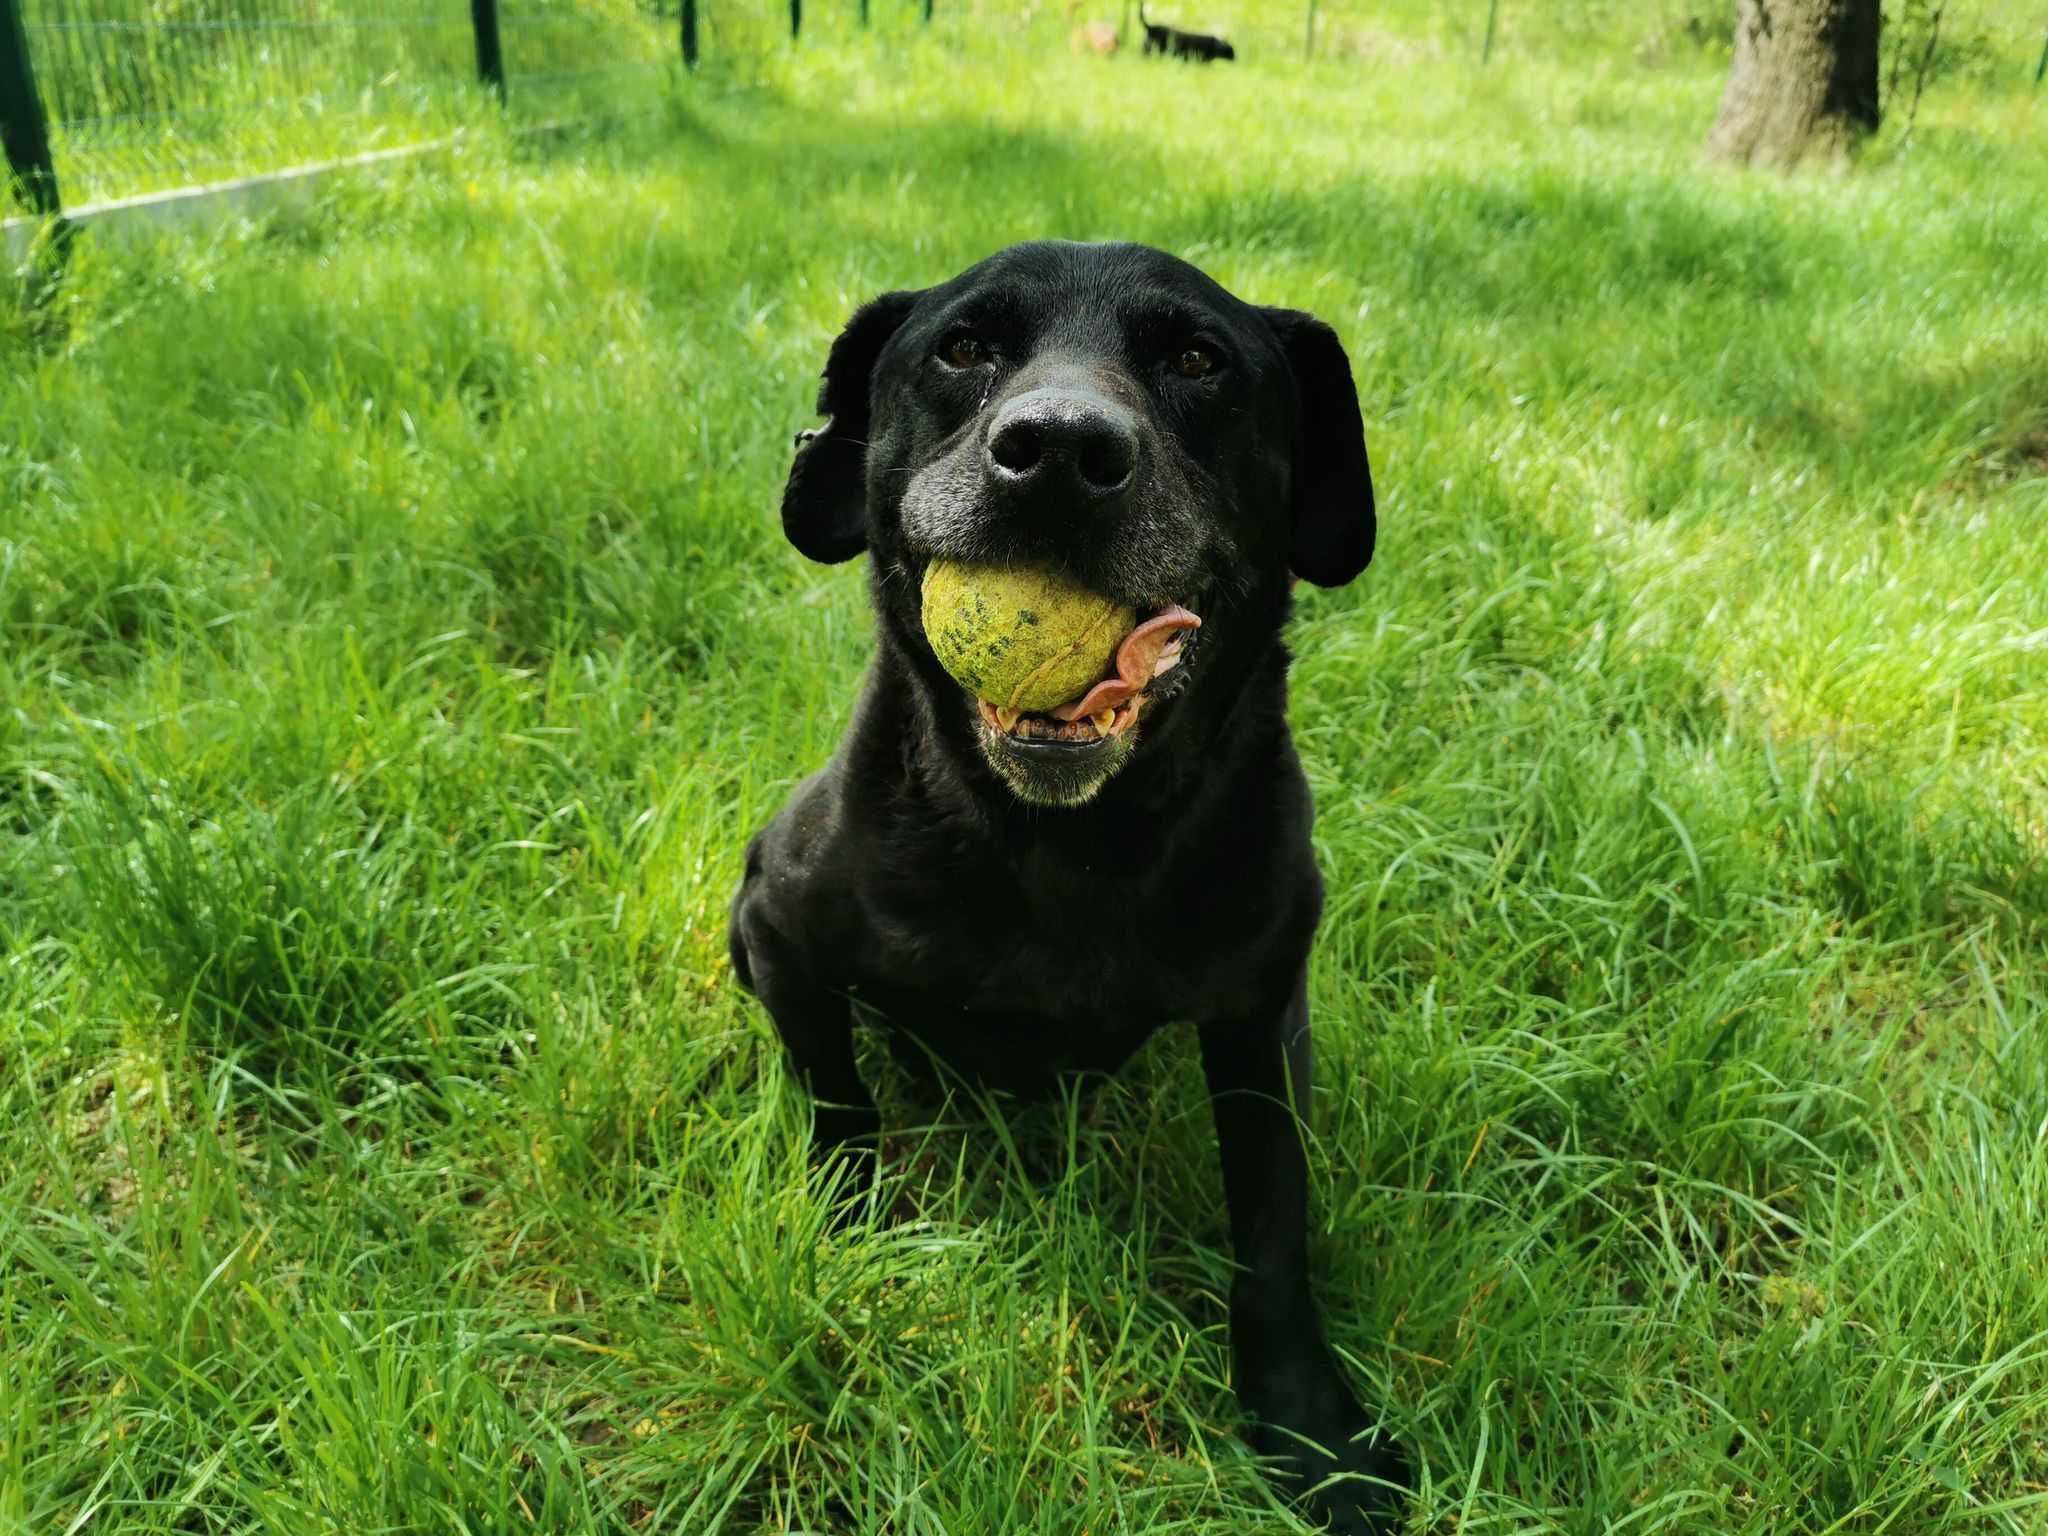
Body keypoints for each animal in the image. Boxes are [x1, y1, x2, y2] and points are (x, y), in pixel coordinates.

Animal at [724, 246, 1409, 1531]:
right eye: (961, 348)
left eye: (1197, 358)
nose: (1056, 451)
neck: (1062, 847)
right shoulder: (778, 932)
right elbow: (836, 1105)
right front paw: (848, 1227)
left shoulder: (1261, 1020)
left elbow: (1273, 1227)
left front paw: (1310, 1430)